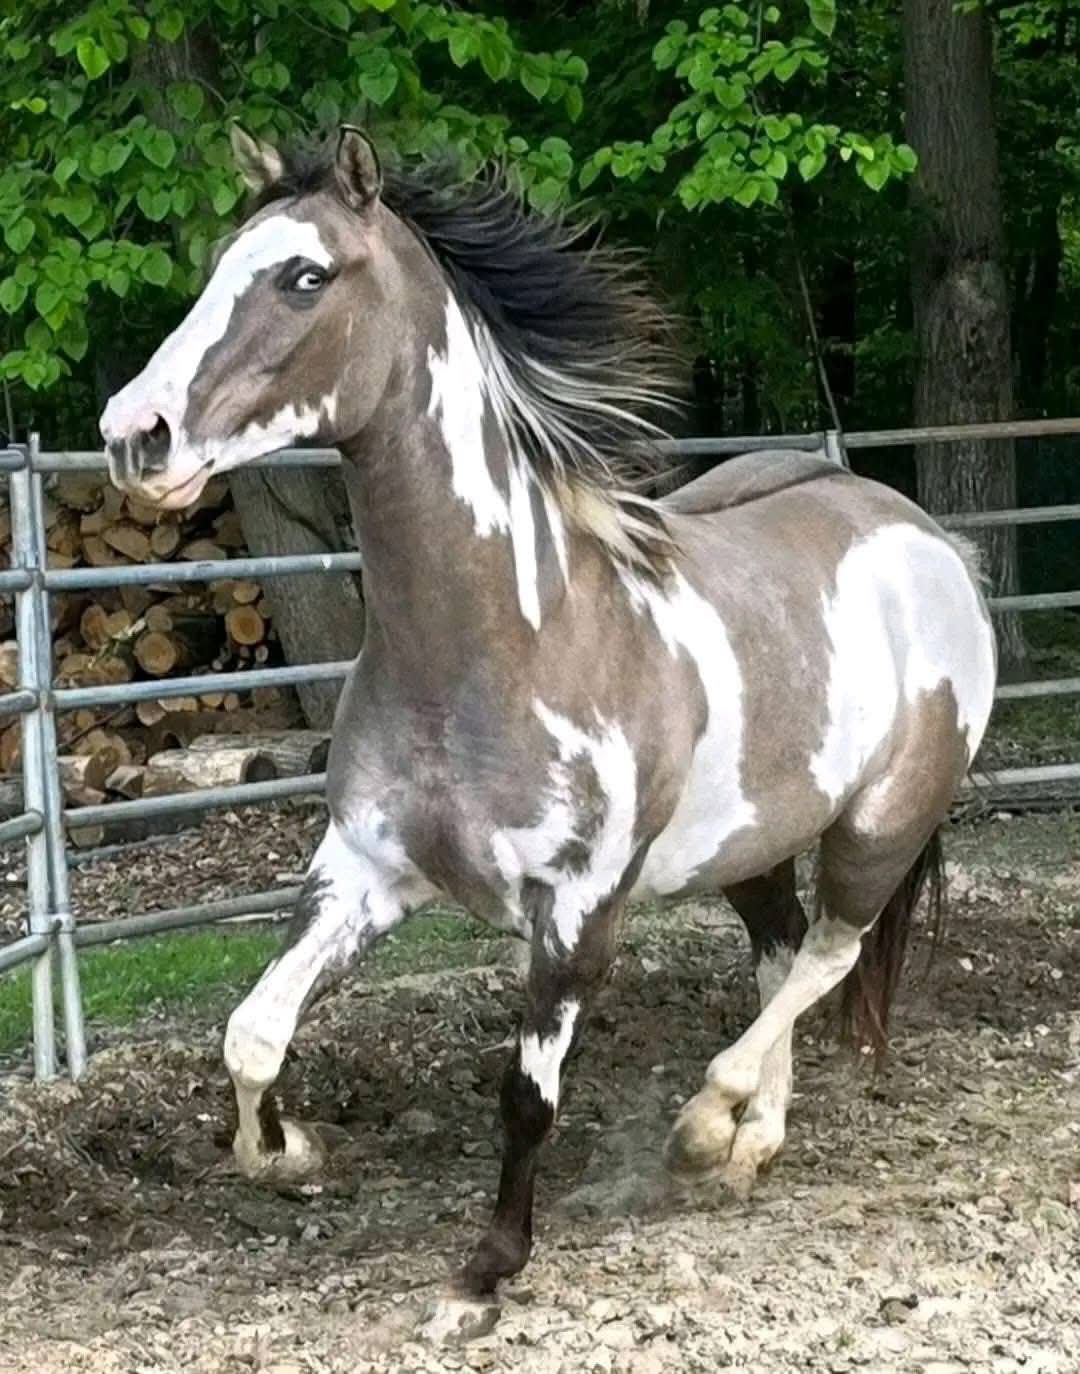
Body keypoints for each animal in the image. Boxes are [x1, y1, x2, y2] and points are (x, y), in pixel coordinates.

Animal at [99, 125, 998, 1297]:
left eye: (305, 277)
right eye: (216, 266)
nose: (133, 435)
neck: (504, 644)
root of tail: (931, 537)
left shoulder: (577, 910)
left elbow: (528, 1096)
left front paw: (486, 1274)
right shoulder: (365, 868)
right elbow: (251, 1033)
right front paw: (293, 1155)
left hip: (881, 827)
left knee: (829, 953)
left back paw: (704, 1124)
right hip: (751, 841)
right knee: (782, 947)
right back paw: (751, 1143)